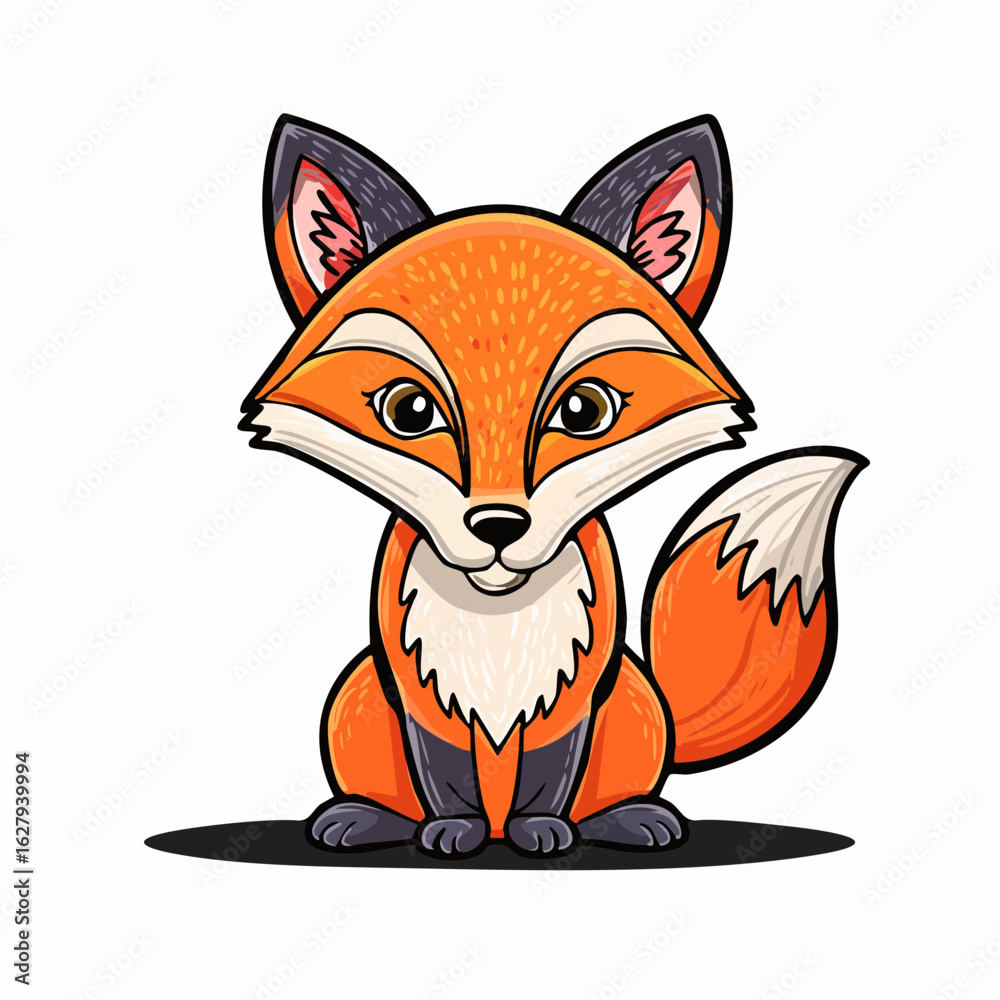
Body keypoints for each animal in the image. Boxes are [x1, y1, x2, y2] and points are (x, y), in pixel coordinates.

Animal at [240, 113, 867, 858]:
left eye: (584, 411)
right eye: (409, 412)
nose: (498, 527)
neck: (498, 618)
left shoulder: (573, 691)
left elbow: (548, 775)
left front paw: (542, 829)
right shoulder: (423, 691)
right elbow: (445, 777)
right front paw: (455, 829)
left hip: (633, 699)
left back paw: (626, 818)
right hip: (358, 692)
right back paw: (368, 818)